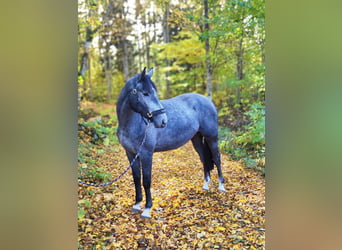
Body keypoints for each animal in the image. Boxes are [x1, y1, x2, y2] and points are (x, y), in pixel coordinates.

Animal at [116, 67, 226, 218]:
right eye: (145, 93)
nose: (163, 121)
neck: (133, 123)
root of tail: (207, 101)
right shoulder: (131, 154)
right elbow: (137, 179)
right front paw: (137, 204)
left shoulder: (146, 154)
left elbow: (146, 181)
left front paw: (147, 209)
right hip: (196, 139)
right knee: (204, 158)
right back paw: (206, 185)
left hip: (211, 137)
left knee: (216, 158)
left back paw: (221, 186)